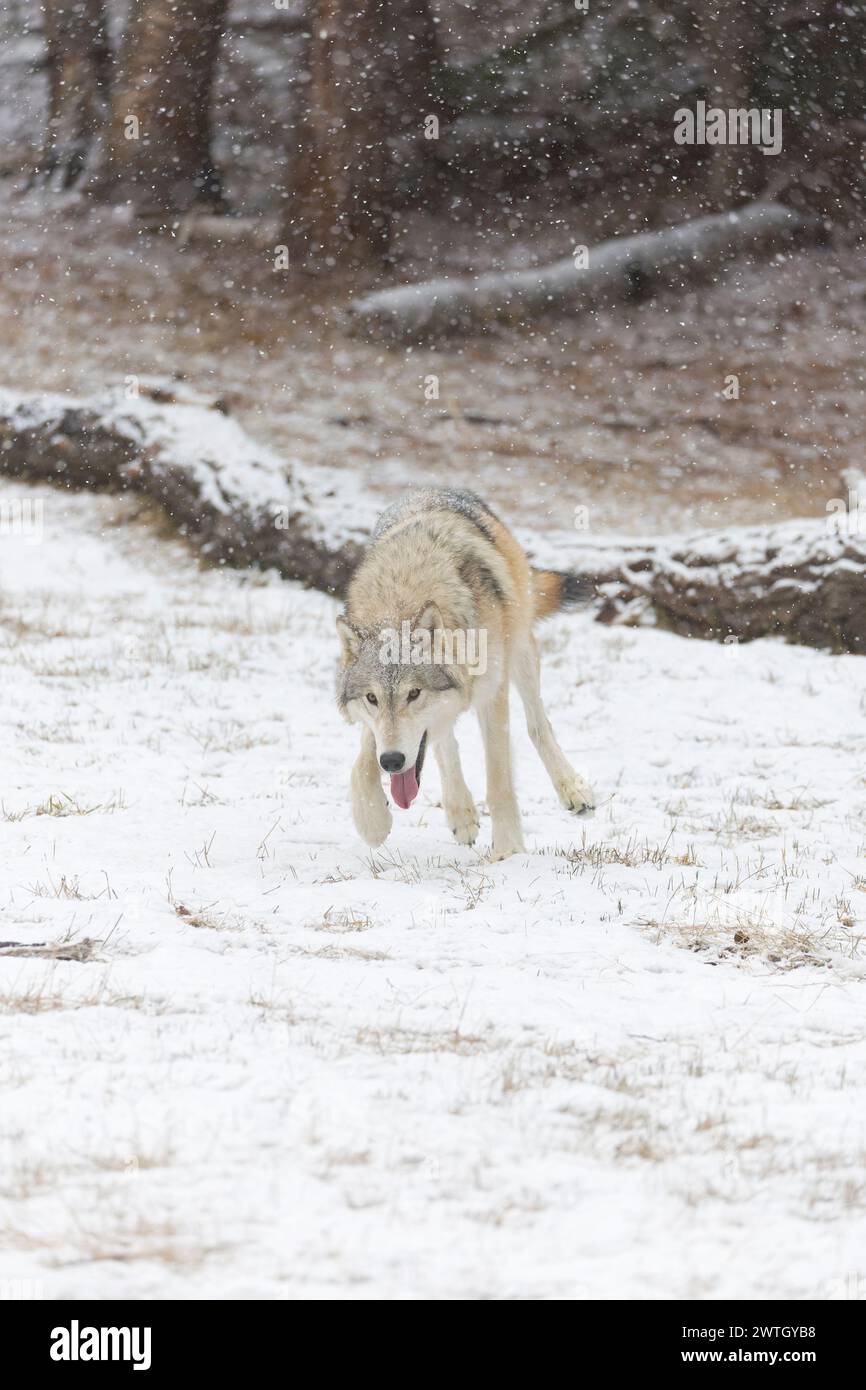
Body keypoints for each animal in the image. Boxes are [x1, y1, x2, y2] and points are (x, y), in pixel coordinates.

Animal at [337, 489, 594, 856]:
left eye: (414, 693)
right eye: (371, 698)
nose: (392, 761)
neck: (403, 597)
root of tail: (432, 490)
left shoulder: (492, 696)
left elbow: (499, 782)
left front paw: (508, 852)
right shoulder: (378, 731)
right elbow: (361, 765)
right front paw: (372, 822)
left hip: (521, 650)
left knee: (538, 725)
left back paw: (572, 788)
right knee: (446, 742)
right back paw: (460, 812)